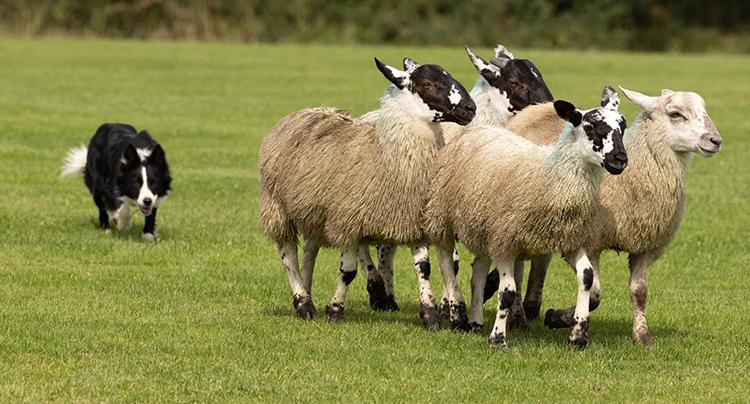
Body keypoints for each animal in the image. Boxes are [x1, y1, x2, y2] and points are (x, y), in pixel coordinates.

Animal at [258, 56, 476, 330]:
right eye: (427, 84)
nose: (471, 108)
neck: (386, 153)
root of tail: (302, 112)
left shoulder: (411, 217)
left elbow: (423, 268)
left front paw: (431, 315)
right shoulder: (347, 222)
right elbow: (348, 271)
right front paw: (335, 311)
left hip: (314, 212)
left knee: (309, 252)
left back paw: (307, 292)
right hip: (278, 208)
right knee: (288, 256)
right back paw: (303, 303)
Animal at [353, 45, 553, 315]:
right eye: (514, 82)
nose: (552, 107)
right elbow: (453, 261)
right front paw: (451, 307)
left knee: (386, 251)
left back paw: (389, 300)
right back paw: (378, 294)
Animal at [424, 87, 628, 348]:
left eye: (623, 128)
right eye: (590, 127)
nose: (620, 160)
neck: (550, 175)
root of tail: (477, 130)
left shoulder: (570, 238)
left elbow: (587, 277)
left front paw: (578, 336)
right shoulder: (504, 243)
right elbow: (508, 293)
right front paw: (498, 339)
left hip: (483, 228)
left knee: (478, 272)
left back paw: (476, 322)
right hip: (443, 217)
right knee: (446, 262)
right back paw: (458, 315)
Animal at [503, 87, 722, 344]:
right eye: (675, 114)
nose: (716, 140)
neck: (636, 174)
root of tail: (537, 108)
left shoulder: (646, 247)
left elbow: (639, 291)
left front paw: (642, 336)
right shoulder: (590, 242)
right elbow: (594, 295)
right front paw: (559, 317)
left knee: (539, 261)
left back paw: (531, 307)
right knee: (517, 268)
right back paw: (519, 318)